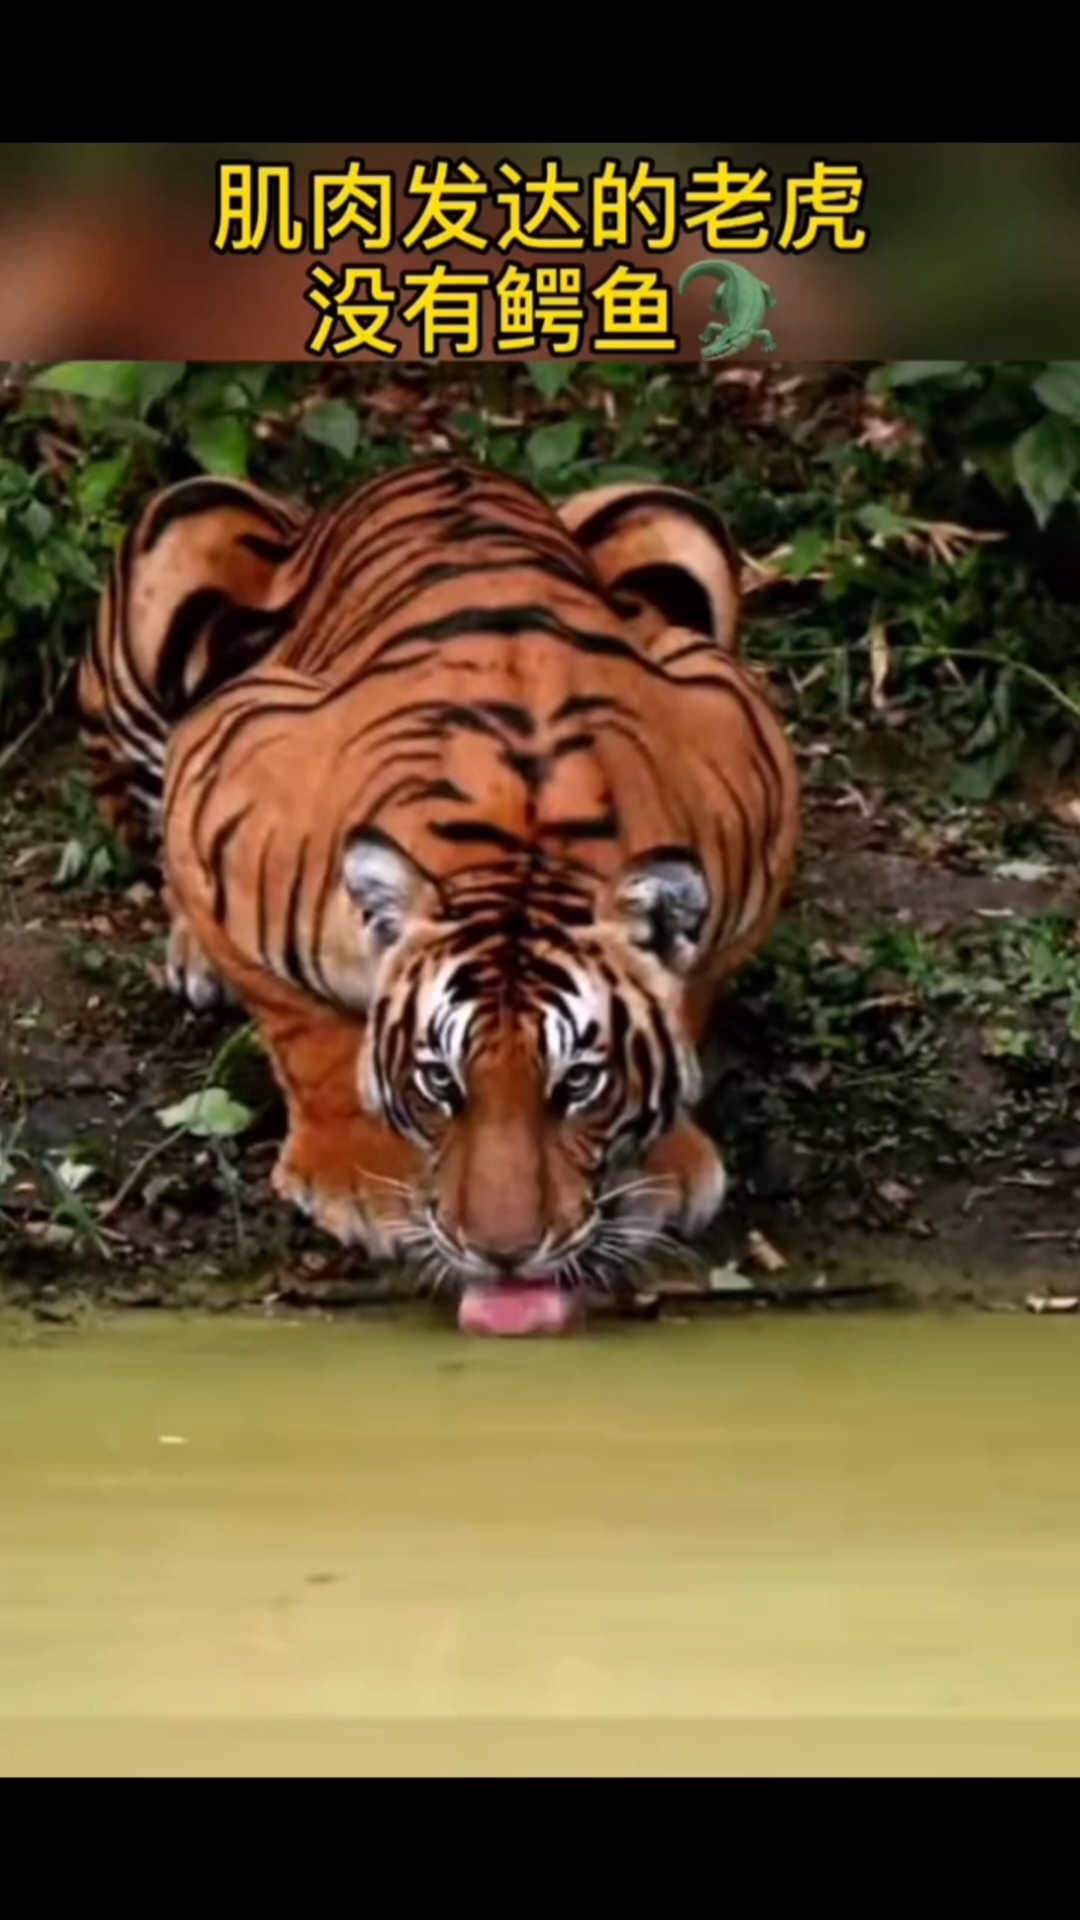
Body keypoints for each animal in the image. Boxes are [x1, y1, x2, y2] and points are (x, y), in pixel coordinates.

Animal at [78, 455, 799, 1335]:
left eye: (579, 1084)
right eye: (439, 1082)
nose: (505, 1255)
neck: (525, 847)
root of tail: (429, 463)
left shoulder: (750, 772)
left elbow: (690, 991)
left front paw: (661, 1161)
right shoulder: (217, 783)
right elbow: (307, 1034)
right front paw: (358, 1178)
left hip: (674, 517)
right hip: (178, 529)